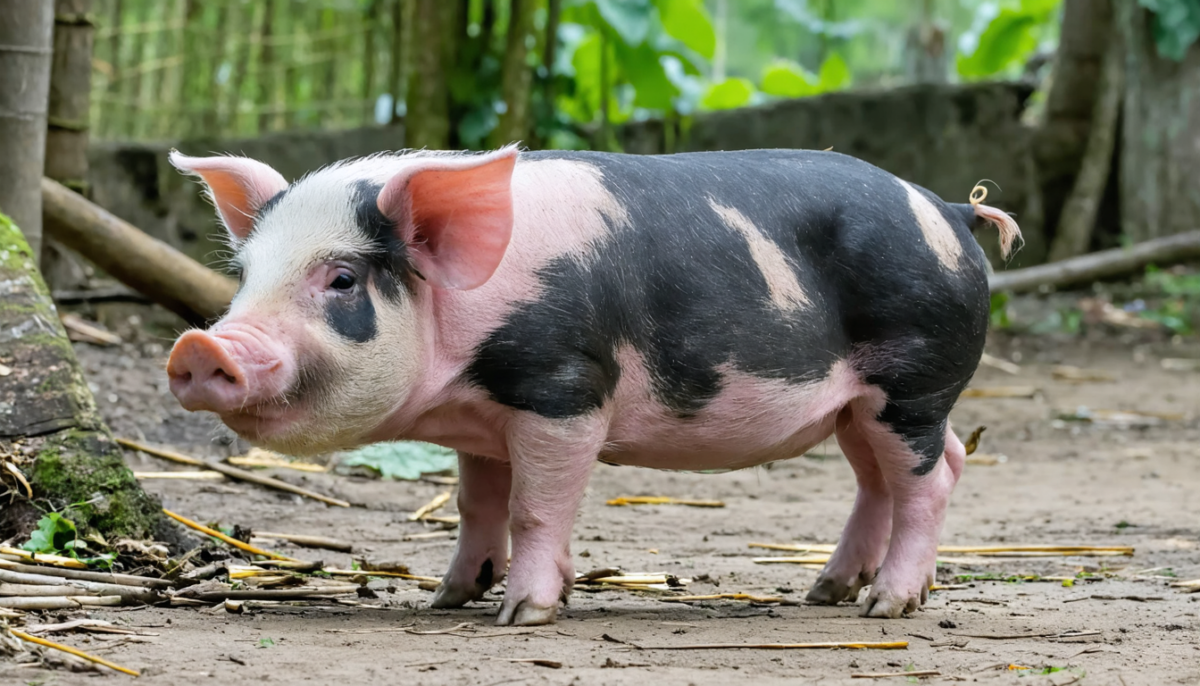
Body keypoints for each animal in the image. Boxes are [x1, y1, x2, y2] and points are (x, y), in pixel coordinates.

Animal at [166, 146, 1020, 626]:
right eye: (245, 276)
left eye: (341, 278)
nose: (199, 347)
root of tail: (949, 210)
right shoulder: (482, 422)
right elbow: (478, 504)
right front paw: (450, 597)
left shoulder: (562, 388)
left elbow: (536, 506)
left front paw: (524, 614)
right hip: (858, 406)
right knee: (886, 478)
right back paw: (827, 592)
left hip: (914, 377)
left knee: (933, 476)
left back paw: (887, 604)